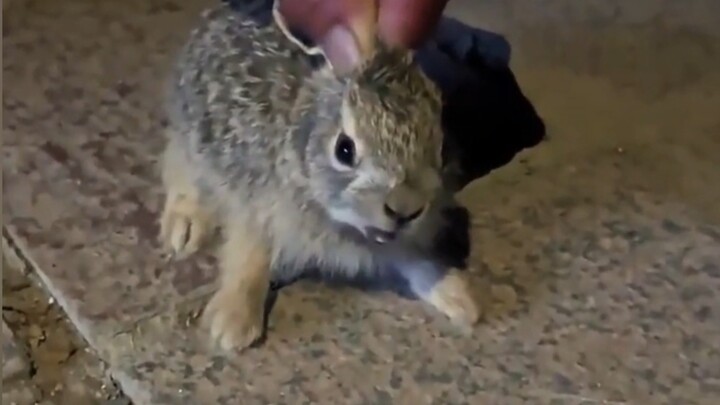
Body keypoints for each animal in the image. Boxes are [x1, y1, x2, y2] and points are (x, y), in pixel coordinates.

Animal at [159, 2, 480, 352]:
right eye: (344, 150)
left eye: (440, 146)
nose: (405, 209)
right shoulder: (258, 202)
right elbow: (250, 255)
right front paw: (232, 324)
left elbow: (415, 259)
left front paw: (458, 296)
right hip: (196, 136)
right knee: (179, 164)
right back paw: (185, 228)